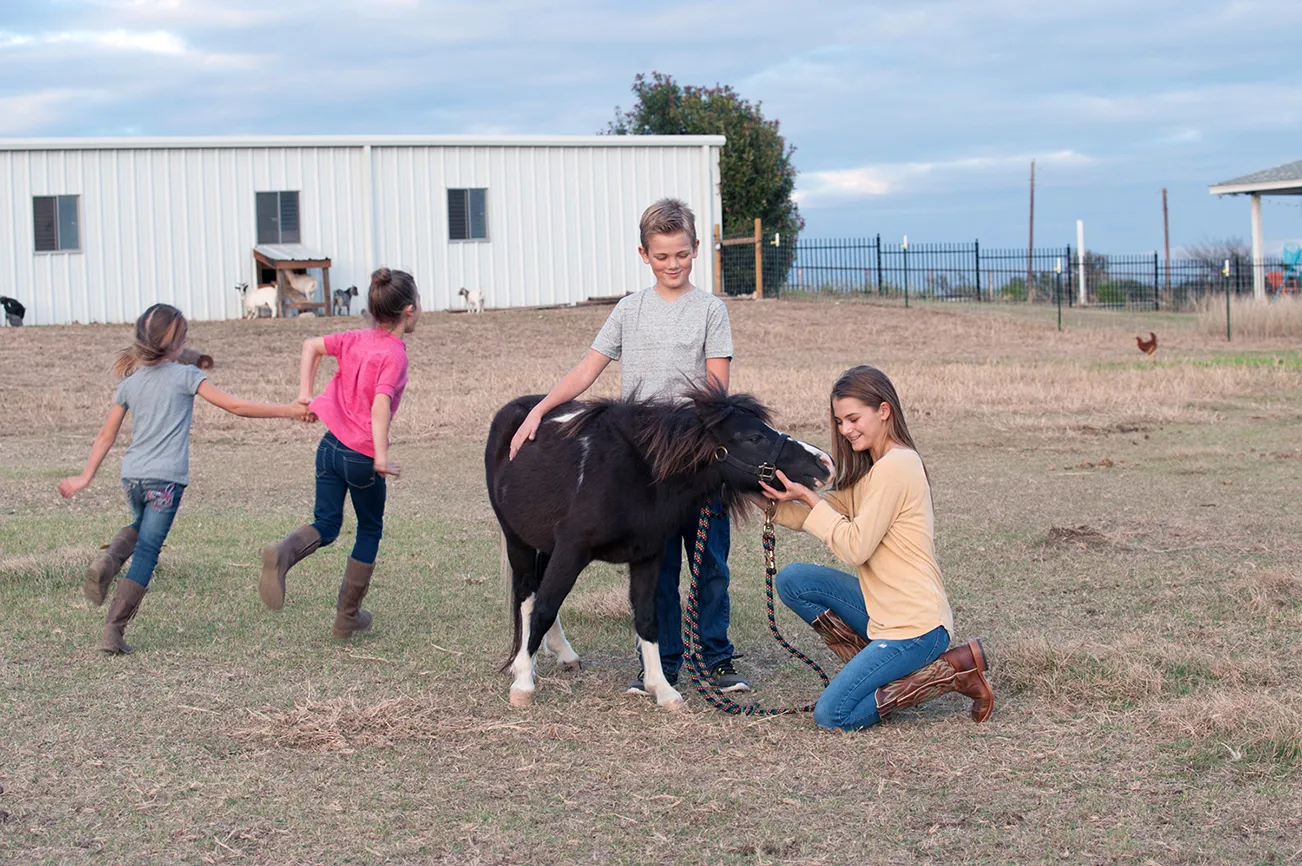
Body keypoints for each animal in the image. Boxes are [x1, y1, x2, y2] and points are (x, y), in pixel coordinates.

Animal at [484, 385, 828, 708]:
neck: (635, 475)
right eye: (754, 437)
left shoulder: (647, 556)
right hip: (518, 541)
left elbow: (648, 618)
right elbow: (543, 608)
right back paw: (523, 664)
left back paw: (563, 654)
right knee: (528, 596)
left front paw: (661, 689)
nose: (824, 463)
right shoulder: (571, 551)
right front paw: (523, 686)